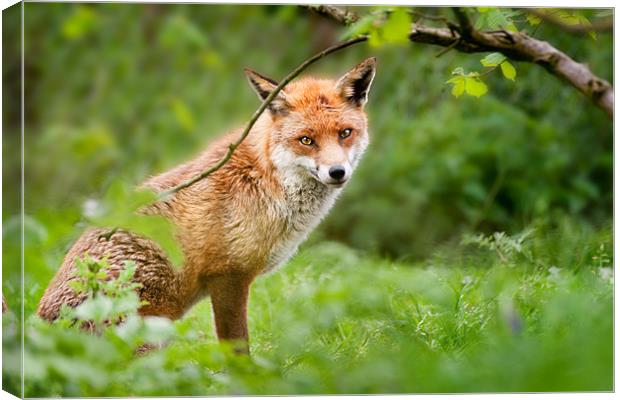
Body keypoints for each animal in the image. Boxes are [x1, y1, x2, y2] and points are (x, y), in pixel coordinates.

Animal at [40, 57, 378, 354]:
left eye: (345, 133)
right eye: (306, 140)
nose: (337, 172)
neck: (265, 181)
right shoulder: (228, 276)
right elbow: (237, 349)